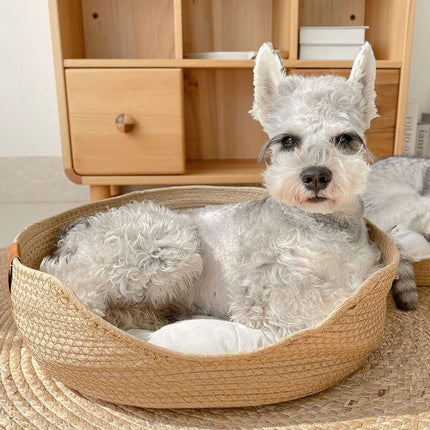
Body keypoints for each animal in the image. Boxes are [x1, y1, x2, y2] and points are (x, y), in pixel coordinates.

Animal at [42, 42, 382, 340]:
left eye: (345, 138)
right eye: (288, 140)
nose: (315, 176)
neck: (321, 225)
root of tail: (77, 229)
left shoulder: (364, 272)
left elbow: (353, 288)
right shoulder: (265, 290)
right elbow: (331, 301)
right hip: (168, 243)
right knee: (73, 283)